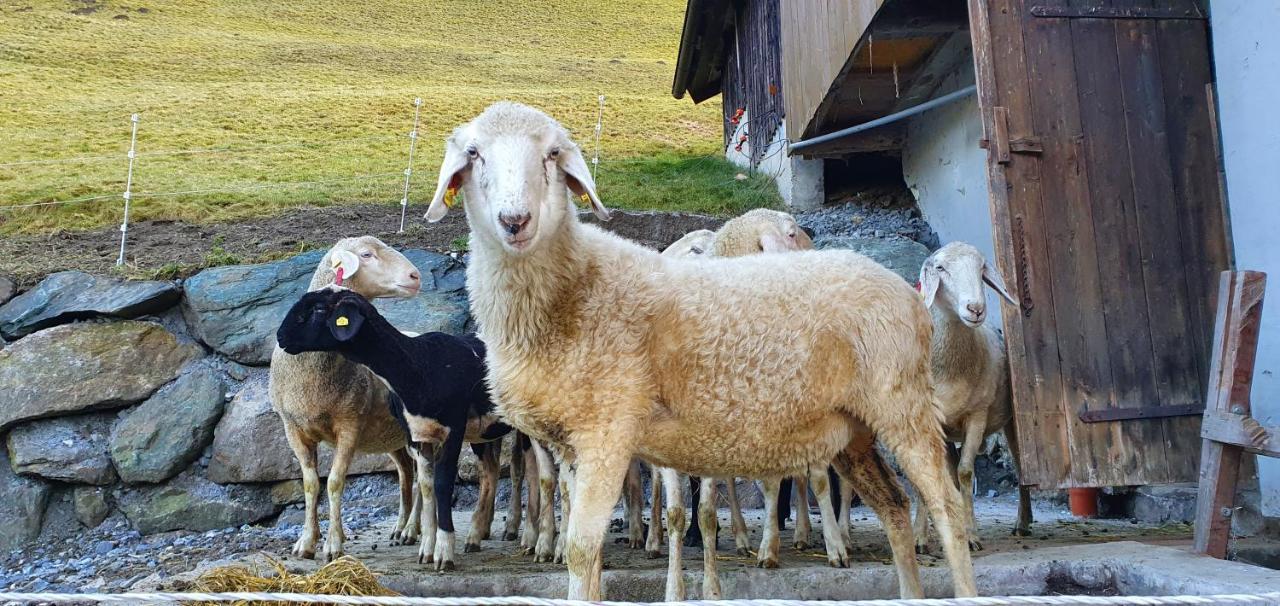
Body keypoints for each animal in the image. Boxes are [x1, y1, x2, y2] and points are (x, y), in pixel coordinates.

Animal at [266, 234, 422, 558]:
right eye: (366, 254)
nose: (416, 276)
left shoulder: (349, 425)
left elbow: (335, 483)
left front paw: (333, 544)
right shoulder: (292, 428)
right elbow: (311, 484)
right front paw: (306, 542)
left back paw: (413, 529)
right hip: (392, 437)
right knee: (406, 474)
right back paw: (401, 528)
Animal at [277, 285, 512, 568]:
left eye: (319, 309)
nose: (280, 336)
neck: (420, 365)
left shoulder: (453, 430)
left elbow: (443, 484)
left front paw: (444, 551)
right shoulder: (420, 435)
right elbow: (427, 486)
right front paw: (427, 549)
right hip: (483, 434)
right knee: (491, 472)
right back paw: (478, 533)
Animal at [424, 101, 972, 597]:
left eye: (553, 154)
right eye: (474, 153)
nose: (515, 220)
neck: (573, 290)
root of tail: (904, 289)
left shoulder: (608, 432)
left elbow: (582, 551)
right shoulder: (572, 445)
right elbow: (591, 554)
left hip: (902, 404)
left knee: (946, 508)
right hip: (852, 429)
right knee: (895, 506)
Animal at [911, 242, 1029, 553]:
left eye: (982, 268)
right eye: (940, 268)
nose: (975, 308)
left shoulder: (977, 415)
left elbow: (965, 472)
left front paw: (971, 534)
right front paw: (919, 537)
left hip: (1011, 424)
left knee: (1021, 469)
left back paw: (1023, 522)